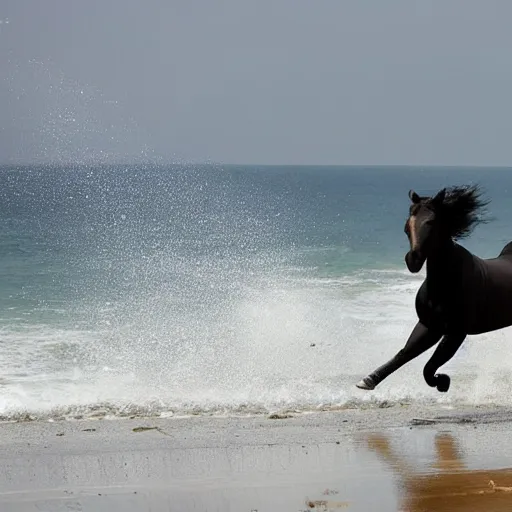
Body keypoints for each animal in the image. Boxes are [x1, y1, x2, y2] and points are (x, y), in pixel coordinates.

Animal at [358, 186, 512, 394]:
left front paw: (442, 381)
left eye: (431, 222)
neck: (443, 285)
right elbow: (404, 354)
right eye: (407, 226)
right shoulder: (429, 326)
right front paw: (368, 380)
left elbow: (428, 367)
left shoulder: (455, 333)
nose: (413, 260)